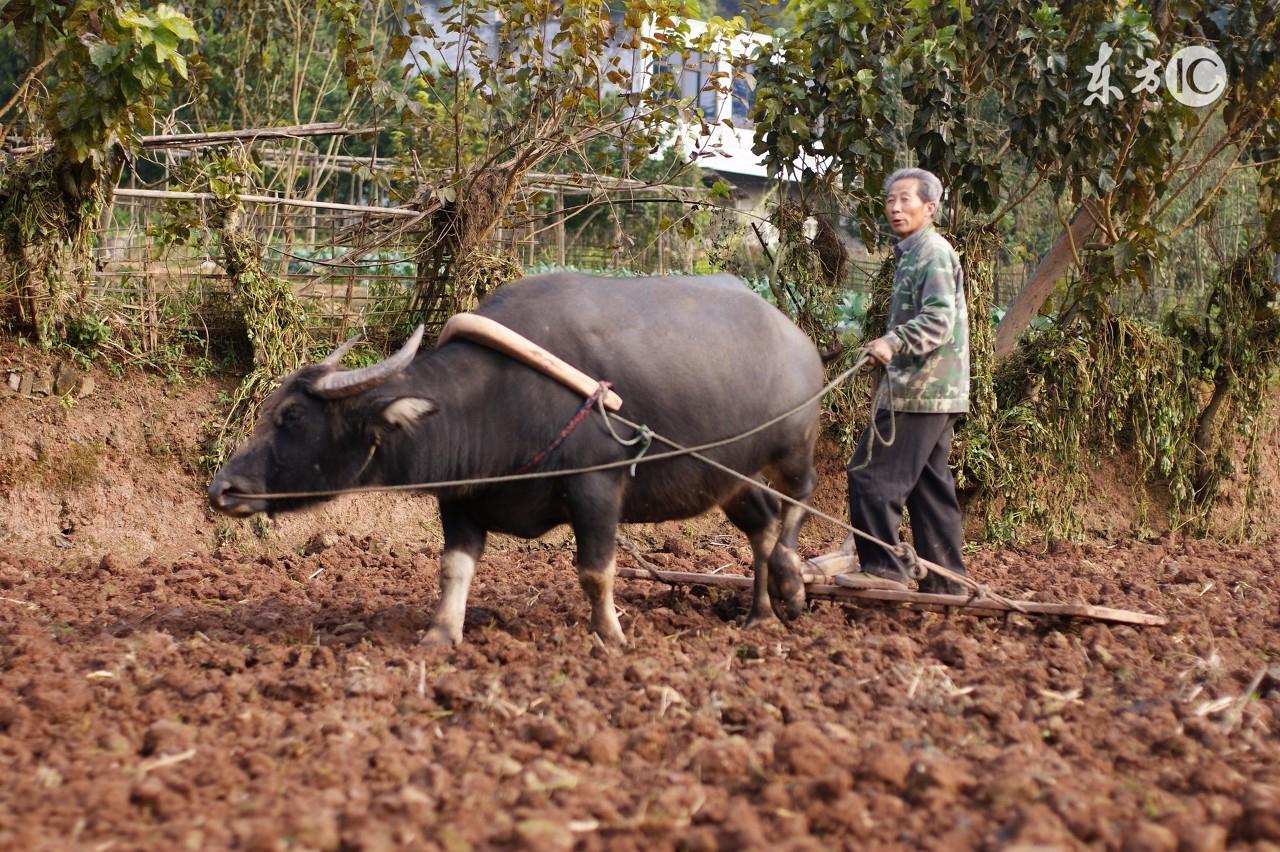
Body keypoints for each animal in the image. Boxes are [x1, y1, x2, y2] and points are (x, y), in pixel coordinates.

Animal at [208, 273, 819, 644]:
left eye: (292, 418)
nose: (223, 489)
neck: (497, 402)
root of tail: (798, 341)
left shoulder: (597, 487)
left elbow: (595, 570)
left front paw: (610, 635)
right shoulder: (461, 499)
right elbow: (453, 568)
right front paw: (441, 635)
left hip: (794, 445)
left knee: (797, 503)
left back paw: (792, 581)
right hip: (730, 475)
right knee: (762, 522)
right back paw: (761, 612)